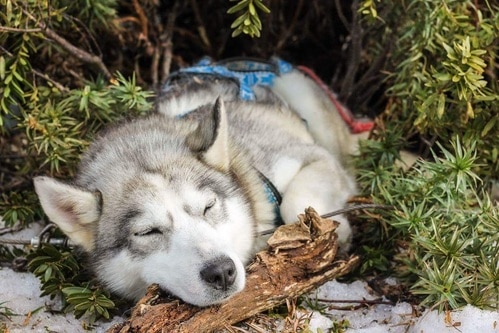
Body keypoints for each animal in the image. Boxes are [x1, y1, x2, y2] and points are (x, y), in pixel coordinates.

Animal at [35, 62, 362, 306]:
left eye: (209, 206)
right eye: (148, 232)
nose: (221, 272)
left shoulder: (310, 157)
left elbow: (296, 201)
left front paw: (333, 233)